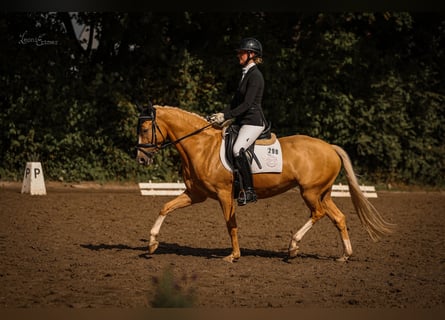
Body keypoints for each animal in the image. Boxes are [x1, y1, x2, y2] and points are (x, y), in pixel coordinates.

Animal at [135, 104, 392, 262]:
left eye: (145, 129)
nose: (141, 158)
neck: (201, 147)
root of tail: (329, 147)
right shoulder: (195, 194)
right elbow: (165, 207)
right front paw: (152, 244)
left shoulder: (224, 194)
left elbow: (231, 225)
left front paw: (234, 255)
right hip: (323, 192)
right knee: (338, 217)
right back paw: (344, 255)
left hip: (310, 192)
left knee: (318, 213)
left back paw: (293, 247)